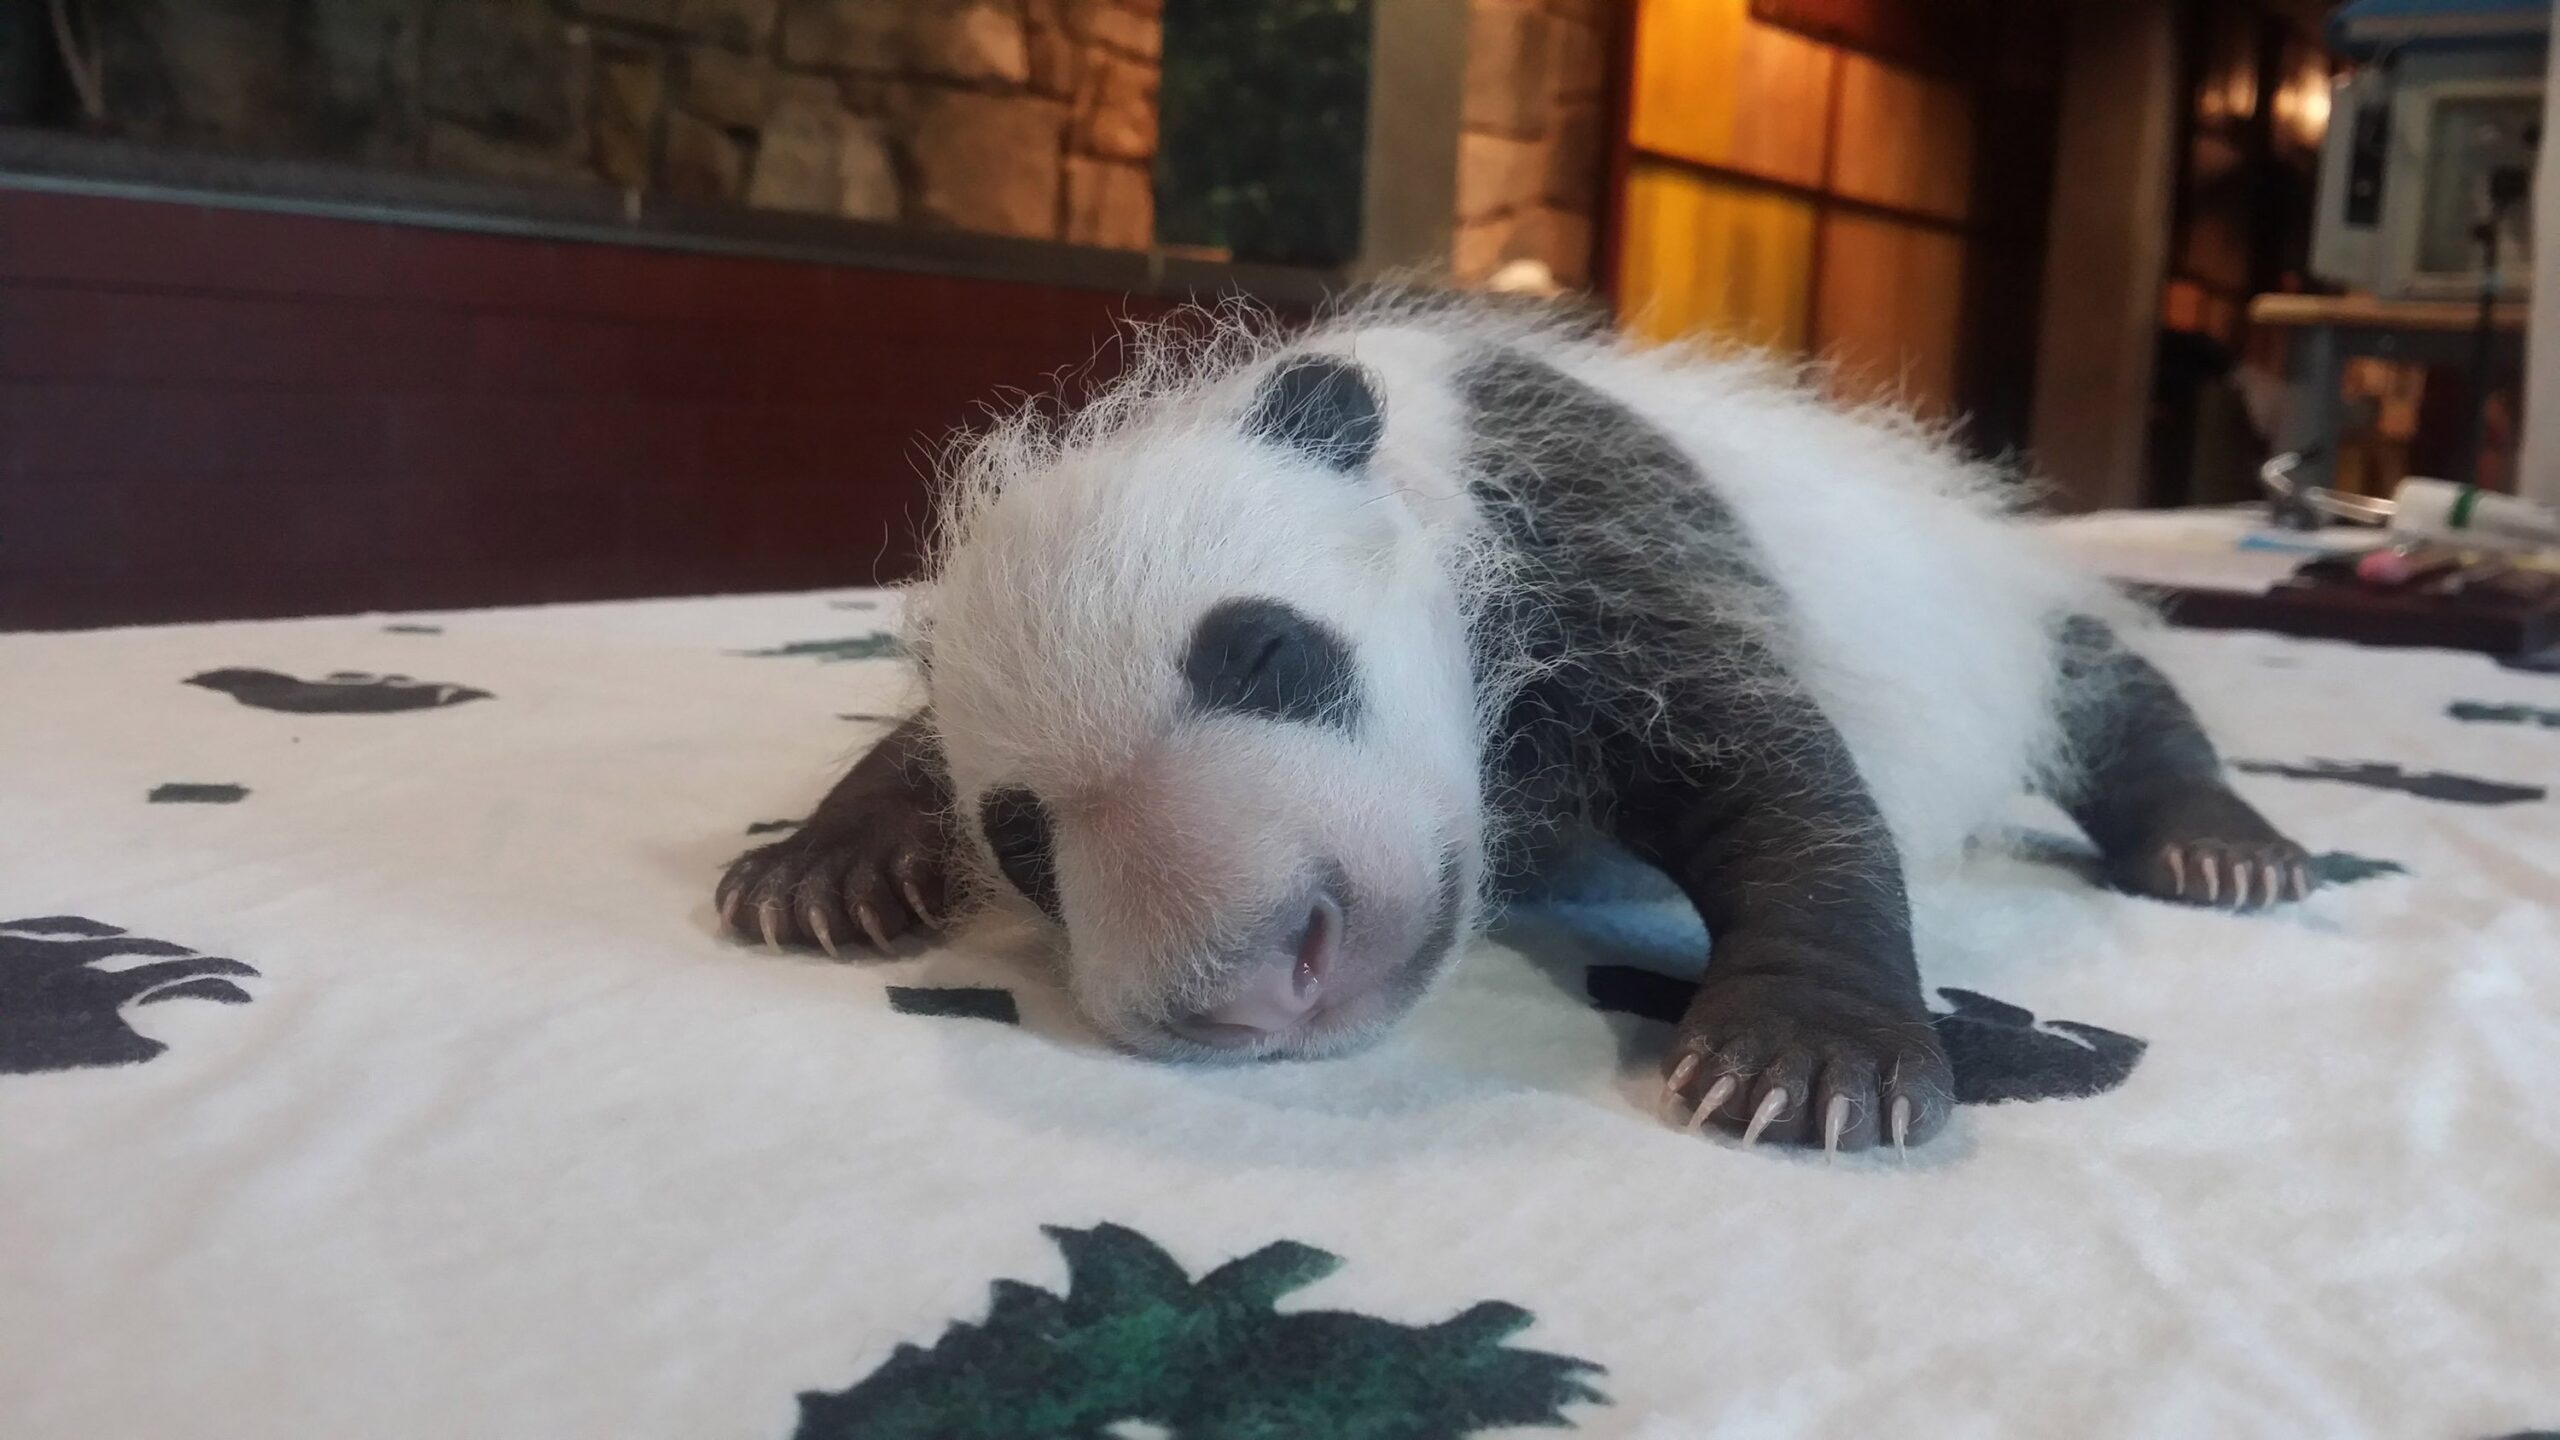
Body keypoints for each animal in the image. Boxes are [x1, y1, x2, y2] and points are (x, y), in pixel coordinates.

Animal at [716, 288, 2315, 1157]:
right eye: (1025, 846)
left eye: (1266, 654)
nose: (1259, 974)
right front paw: (821, 870)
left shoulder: (1585, 527)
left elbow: (1773, 769)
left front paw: (1806, 1059)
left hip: (1988, 603)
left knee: (2106, 684)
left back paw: (2219, 846)